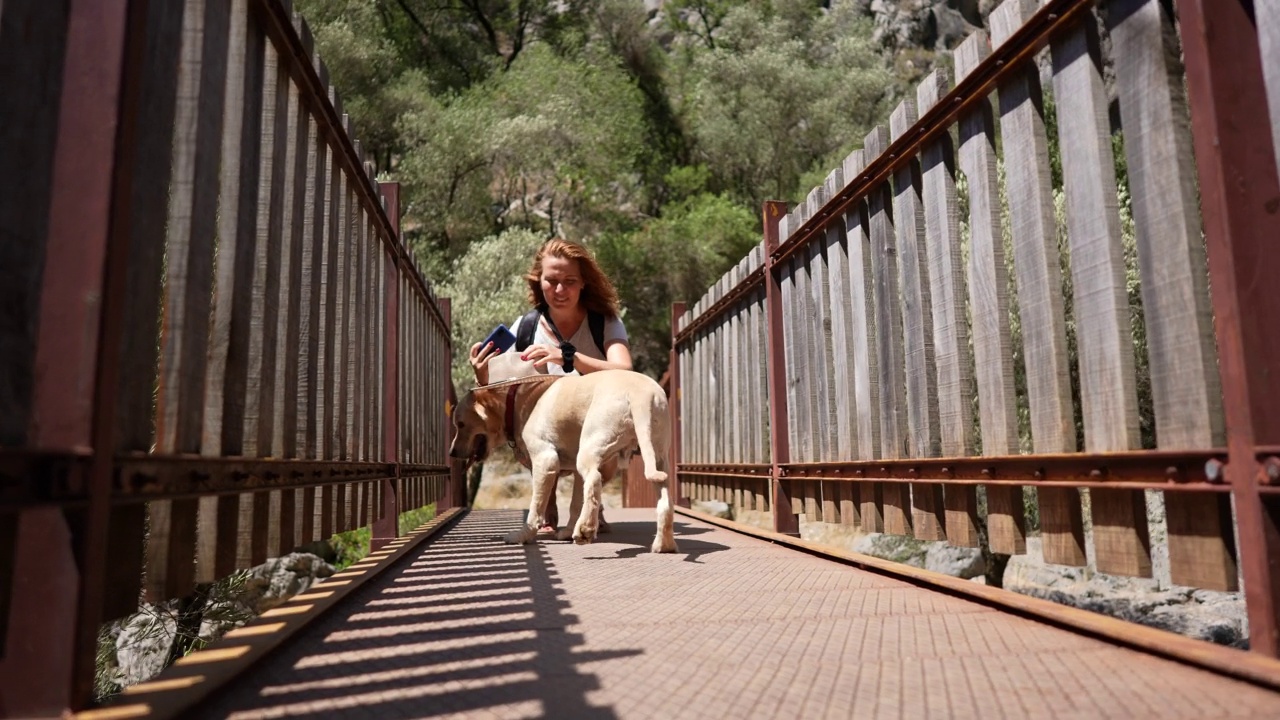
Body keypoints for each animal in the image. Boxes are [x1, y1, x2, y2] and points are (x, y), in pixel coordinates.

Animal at [448, 366, 675, 550]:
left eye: (460, 424)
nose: (452, 453)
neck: (516, 400)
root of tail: (641, 395)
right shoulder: (574, 471)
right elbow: (575, 503)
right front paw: (566, 532)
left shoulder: (545, 460)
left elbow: (536, 506)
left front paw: (523, 536)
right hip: (658, 455)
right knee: (664, 502)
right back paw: (663, 544)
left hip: (592, 445)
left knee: (595, 480)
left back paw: (585, 529)